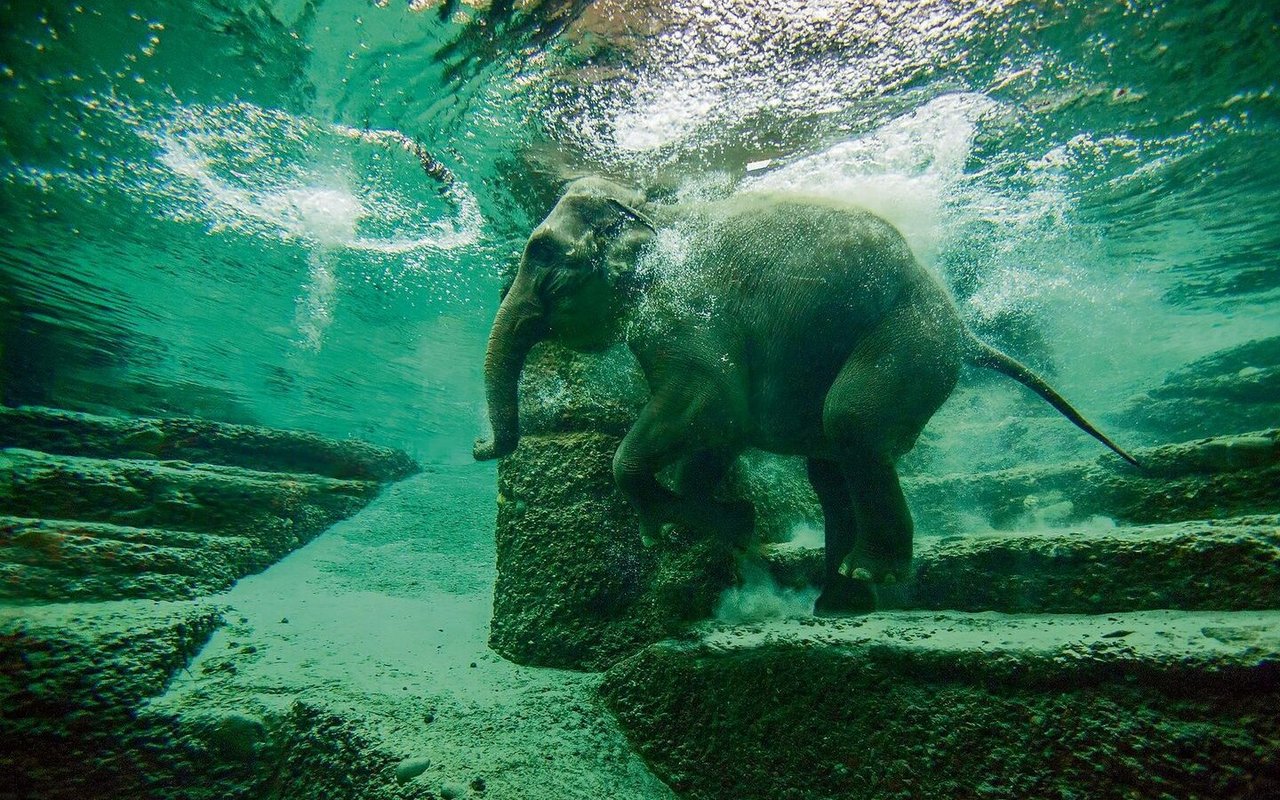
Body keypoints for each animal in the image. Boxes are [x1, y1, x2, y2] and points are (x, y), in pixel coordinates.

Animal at [473, 174, 1141, 611]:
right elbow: (713, 438)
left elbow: (706, 405)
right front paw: (724, 523)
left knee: (850, 423)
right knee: (830, 468)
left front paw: (694, 527)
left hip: (908, 338)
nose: (479, 448)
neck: (654, 211)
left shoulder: (686, 314)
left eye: (541, 251)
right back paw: (837, 600)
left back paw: (873, 575)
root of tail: (965, 331)